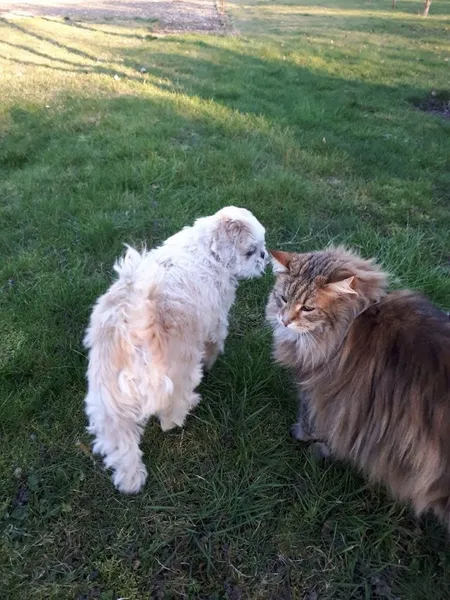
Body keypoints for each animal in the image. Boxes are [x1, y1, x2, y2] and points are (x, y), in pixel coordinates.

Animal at [83, 206, 268, 492]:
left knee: (122, 444)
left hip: (109, 403)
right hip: (179, 374)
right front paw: (212, 361)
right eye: (251, 251)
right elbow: (216, 341)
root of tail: (133, 331)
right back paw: (189, 405)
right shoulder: (217, 319)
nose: (265, 257)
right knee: (170, 417)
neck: (205, 250)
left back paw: (130, 479)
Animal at [268, 248, 450, 528]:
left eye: (308, 308)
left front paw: (305, 438)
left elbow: (311, 420)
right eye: (284, 298)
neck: (352, 321)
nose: (284, 320)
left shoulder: (315, 388)